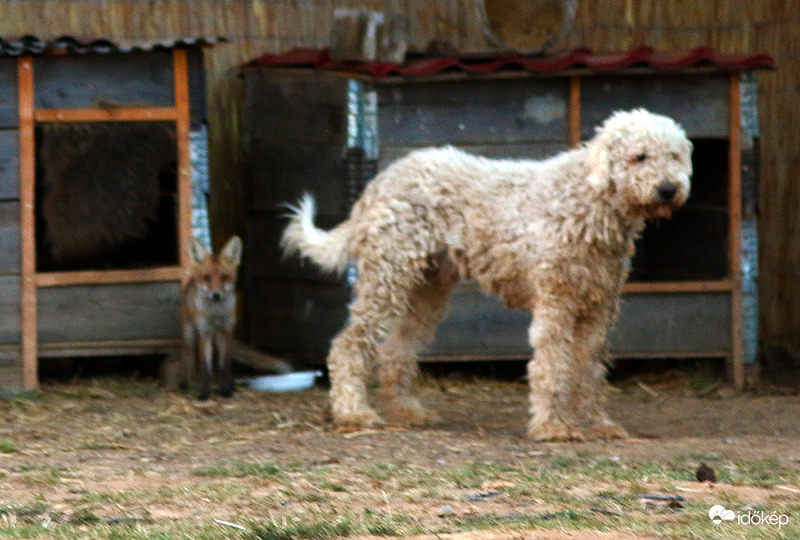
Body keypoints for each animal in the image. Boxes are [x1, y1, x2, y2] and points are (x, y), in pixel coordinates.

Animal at [182, 236, 242, 400]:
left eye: (224, 277)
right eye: (207, 278)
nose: (216, 295)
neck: (215, 315)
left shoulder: (227, 330)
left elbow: (224, 366)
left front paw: (225, 391)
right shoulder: (205, 332)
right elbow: (205, 367)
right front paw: (204, 393)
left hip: (223, 336)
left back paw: (231, 385)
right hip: (189, 334)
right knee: (187, 358)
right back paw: (185, 383)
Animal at [284, 108, 692, 438]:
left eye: (675, 156)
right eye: (639, 157)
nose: (668, 189)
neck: (590, 200)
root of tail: (378, 182)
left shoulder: (598, 307)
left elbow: (589, 370)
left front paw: (596, 424)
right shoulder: (556, 303)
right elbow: (550, 366)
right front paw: (552, 426)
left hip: (426, 290)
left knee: (396, 348)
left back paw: (407, 411)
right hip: (387, 277)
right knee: (348, 345)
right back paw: (353, 413)